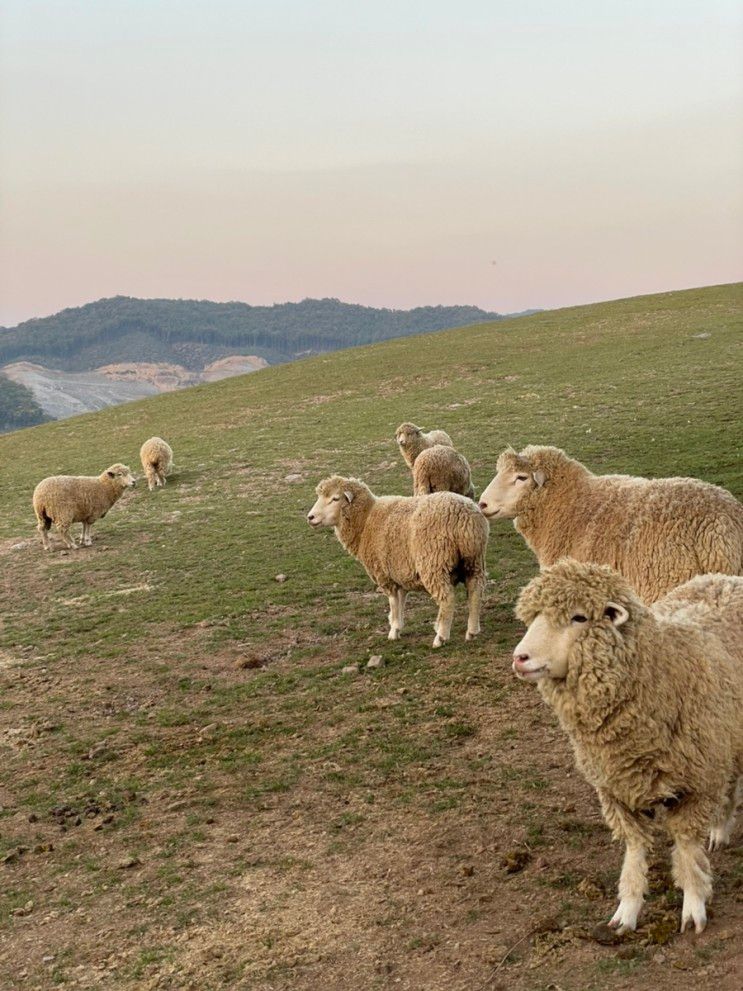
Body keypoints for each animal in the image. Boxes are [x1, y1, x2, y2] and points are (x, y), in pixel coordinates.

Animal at [306, 474, 488, 648]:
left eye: (335, 499)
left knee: (447, 599)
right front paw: (398, 626)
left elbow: (393, 603)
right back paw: (472, 632)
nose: (310, 517)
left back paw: (440, 637)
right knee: (475, 591)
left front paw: (393, 631)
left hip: (434, 563)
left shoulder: (384, 573)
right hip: (474, 561)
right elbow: (401, 601)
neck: (365, 521)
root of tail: (464, 517)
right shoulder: (399, 571)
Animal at [512, 560, 743, 932]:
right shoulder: (617, 790)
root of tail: (722, 578)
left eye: (579, 617)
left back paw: (720, 828)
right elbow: (635, 851)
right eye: (533, 617)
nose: (520, 658)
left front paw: (694, 905)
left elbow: (687, 848)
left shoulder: (697, 783)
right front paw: (628, 909)